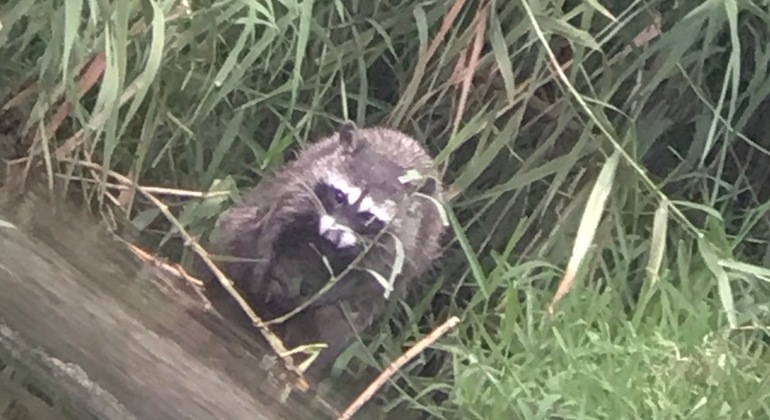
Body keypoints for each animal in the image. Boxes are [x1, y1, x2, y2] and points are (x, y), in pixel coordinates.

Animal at [204, 123, 448, 376]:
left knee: (334, 323)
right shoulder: (304, 181)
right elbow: (276, 220)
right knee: (237, 232)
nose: (332, 234)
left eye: (368, 217)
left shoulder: (400, 244)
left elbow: (367, 279)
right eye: (339, 196)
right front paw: (264, 257)